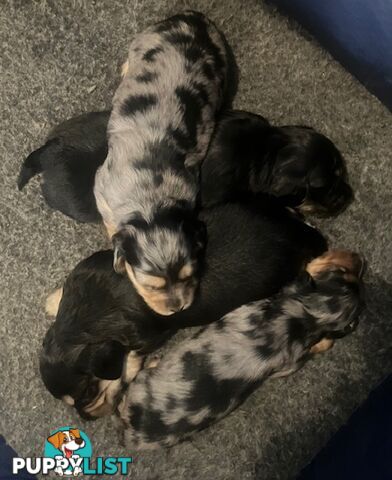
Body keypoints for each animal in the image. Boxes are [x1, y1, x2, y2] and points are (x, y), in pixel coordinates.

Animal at [39, 201, 328, 418]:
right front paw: (54, 301)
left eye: (89, 392)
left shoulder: (150, 336)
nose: (86, 418)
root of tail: (298, 235)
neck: (83, 318)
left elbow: (132, 355)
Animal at [94, 10, 230, 316]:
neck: (151, 202)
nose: (178, 308)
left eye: (189, 275)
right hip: (144, 39)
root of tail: (193, 18)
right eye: (151, 285)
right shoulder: (102, 188)